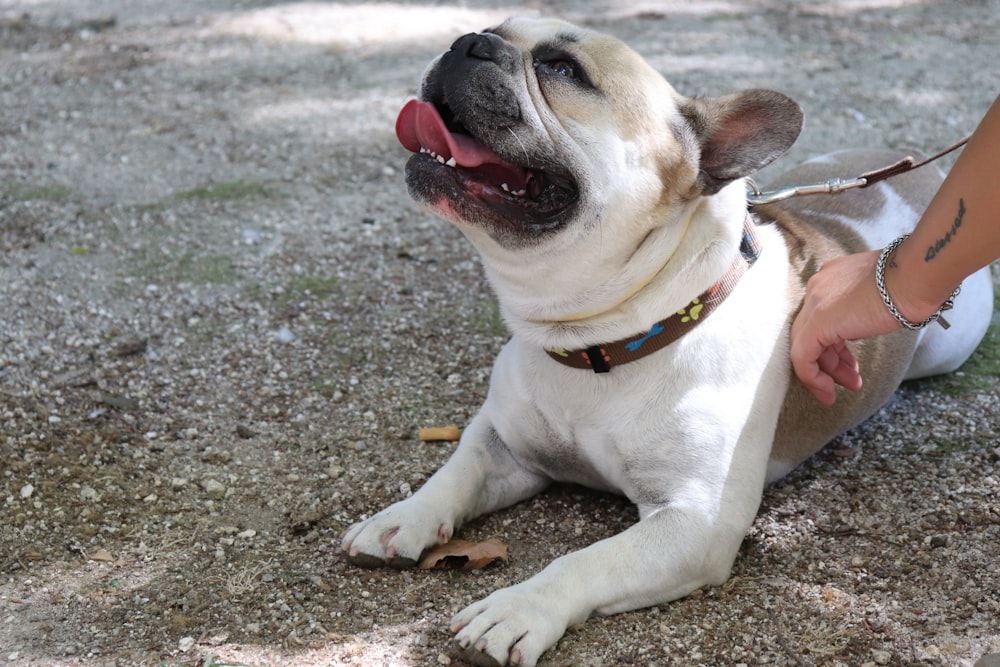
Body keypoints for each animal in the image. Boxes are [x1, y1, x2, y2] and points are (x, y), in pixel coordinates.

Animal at [342, 17, 992, 667]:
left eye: (562, 69)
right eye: (492, 28)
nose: (468, 41)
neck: (598, 340)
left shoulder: (694, 523)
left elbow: (585, 561)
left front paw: (518, 608)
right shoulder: (504, 443)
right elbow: (455, 472)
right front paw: (403, 517)